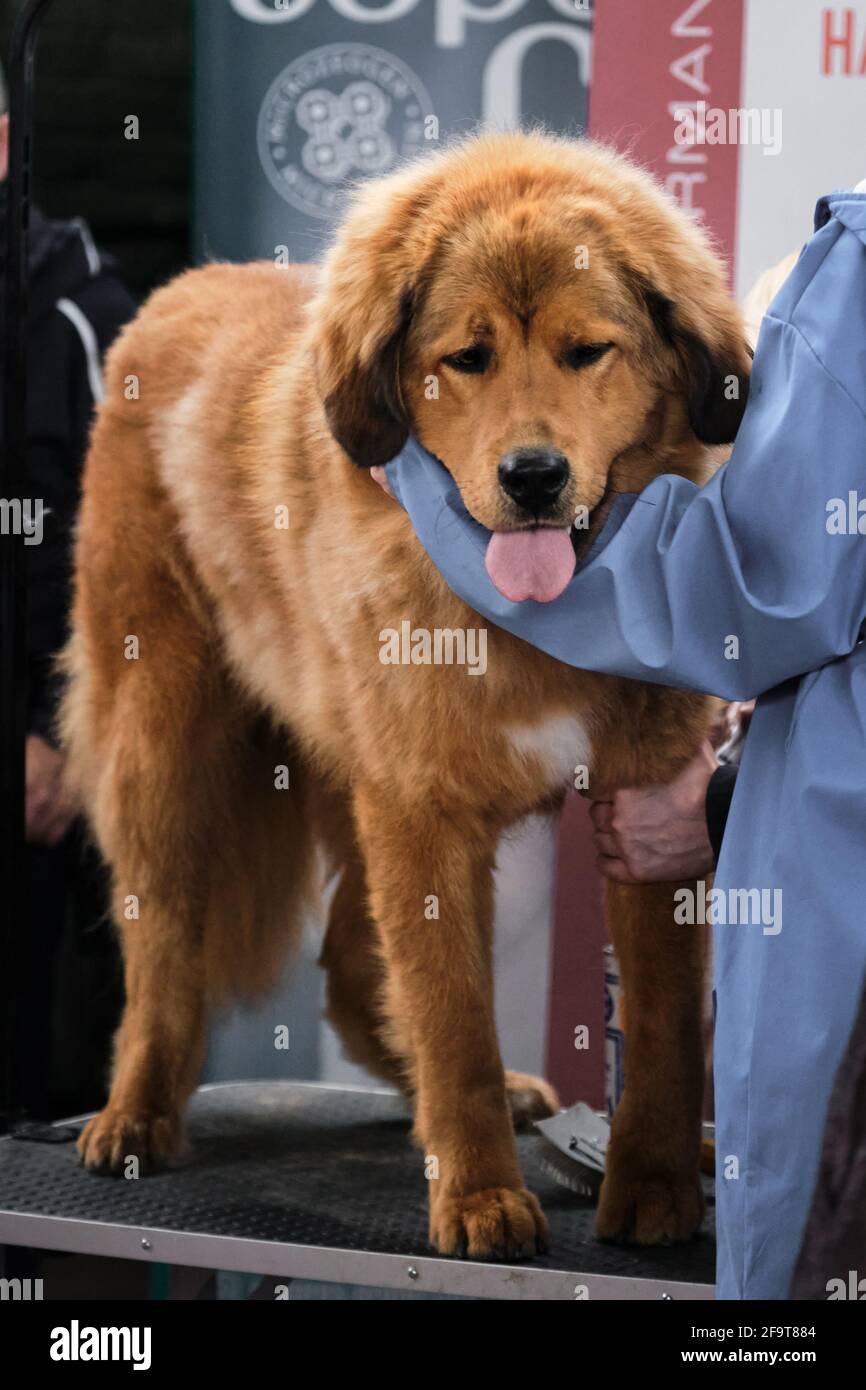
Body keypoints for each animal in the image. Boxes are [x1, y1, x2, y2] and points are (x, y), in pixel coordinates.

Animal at [62, 130, 750, 1262]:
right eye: (467, 358)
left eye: (586, 351)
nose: (532, 475)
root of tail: (177, 288)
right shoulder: (423, 807)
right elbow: (453, 1015)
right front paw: (478, 1195)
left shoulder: (642, 794)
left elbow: (657, 1020)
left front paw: (654, 1187)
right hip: (164, 741)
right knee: (164, 938)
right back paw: (134, 1113)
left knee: (350, 960)